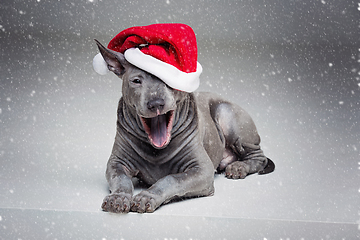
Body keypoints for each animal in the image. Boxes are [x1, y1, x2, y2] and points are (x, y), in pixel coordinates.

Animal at [94, 39, 274, 214]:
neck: (156, 150)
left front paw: (147, 197)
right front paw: (117, 198)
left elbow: (172, 179)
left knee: (258, 157)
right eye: (136, 81)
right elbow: (121, 179)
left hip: (227, 114)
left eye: (168, 81)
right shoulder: (117, 163)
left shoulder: (202, 170)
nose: (156, 103)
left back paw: (239, 167)